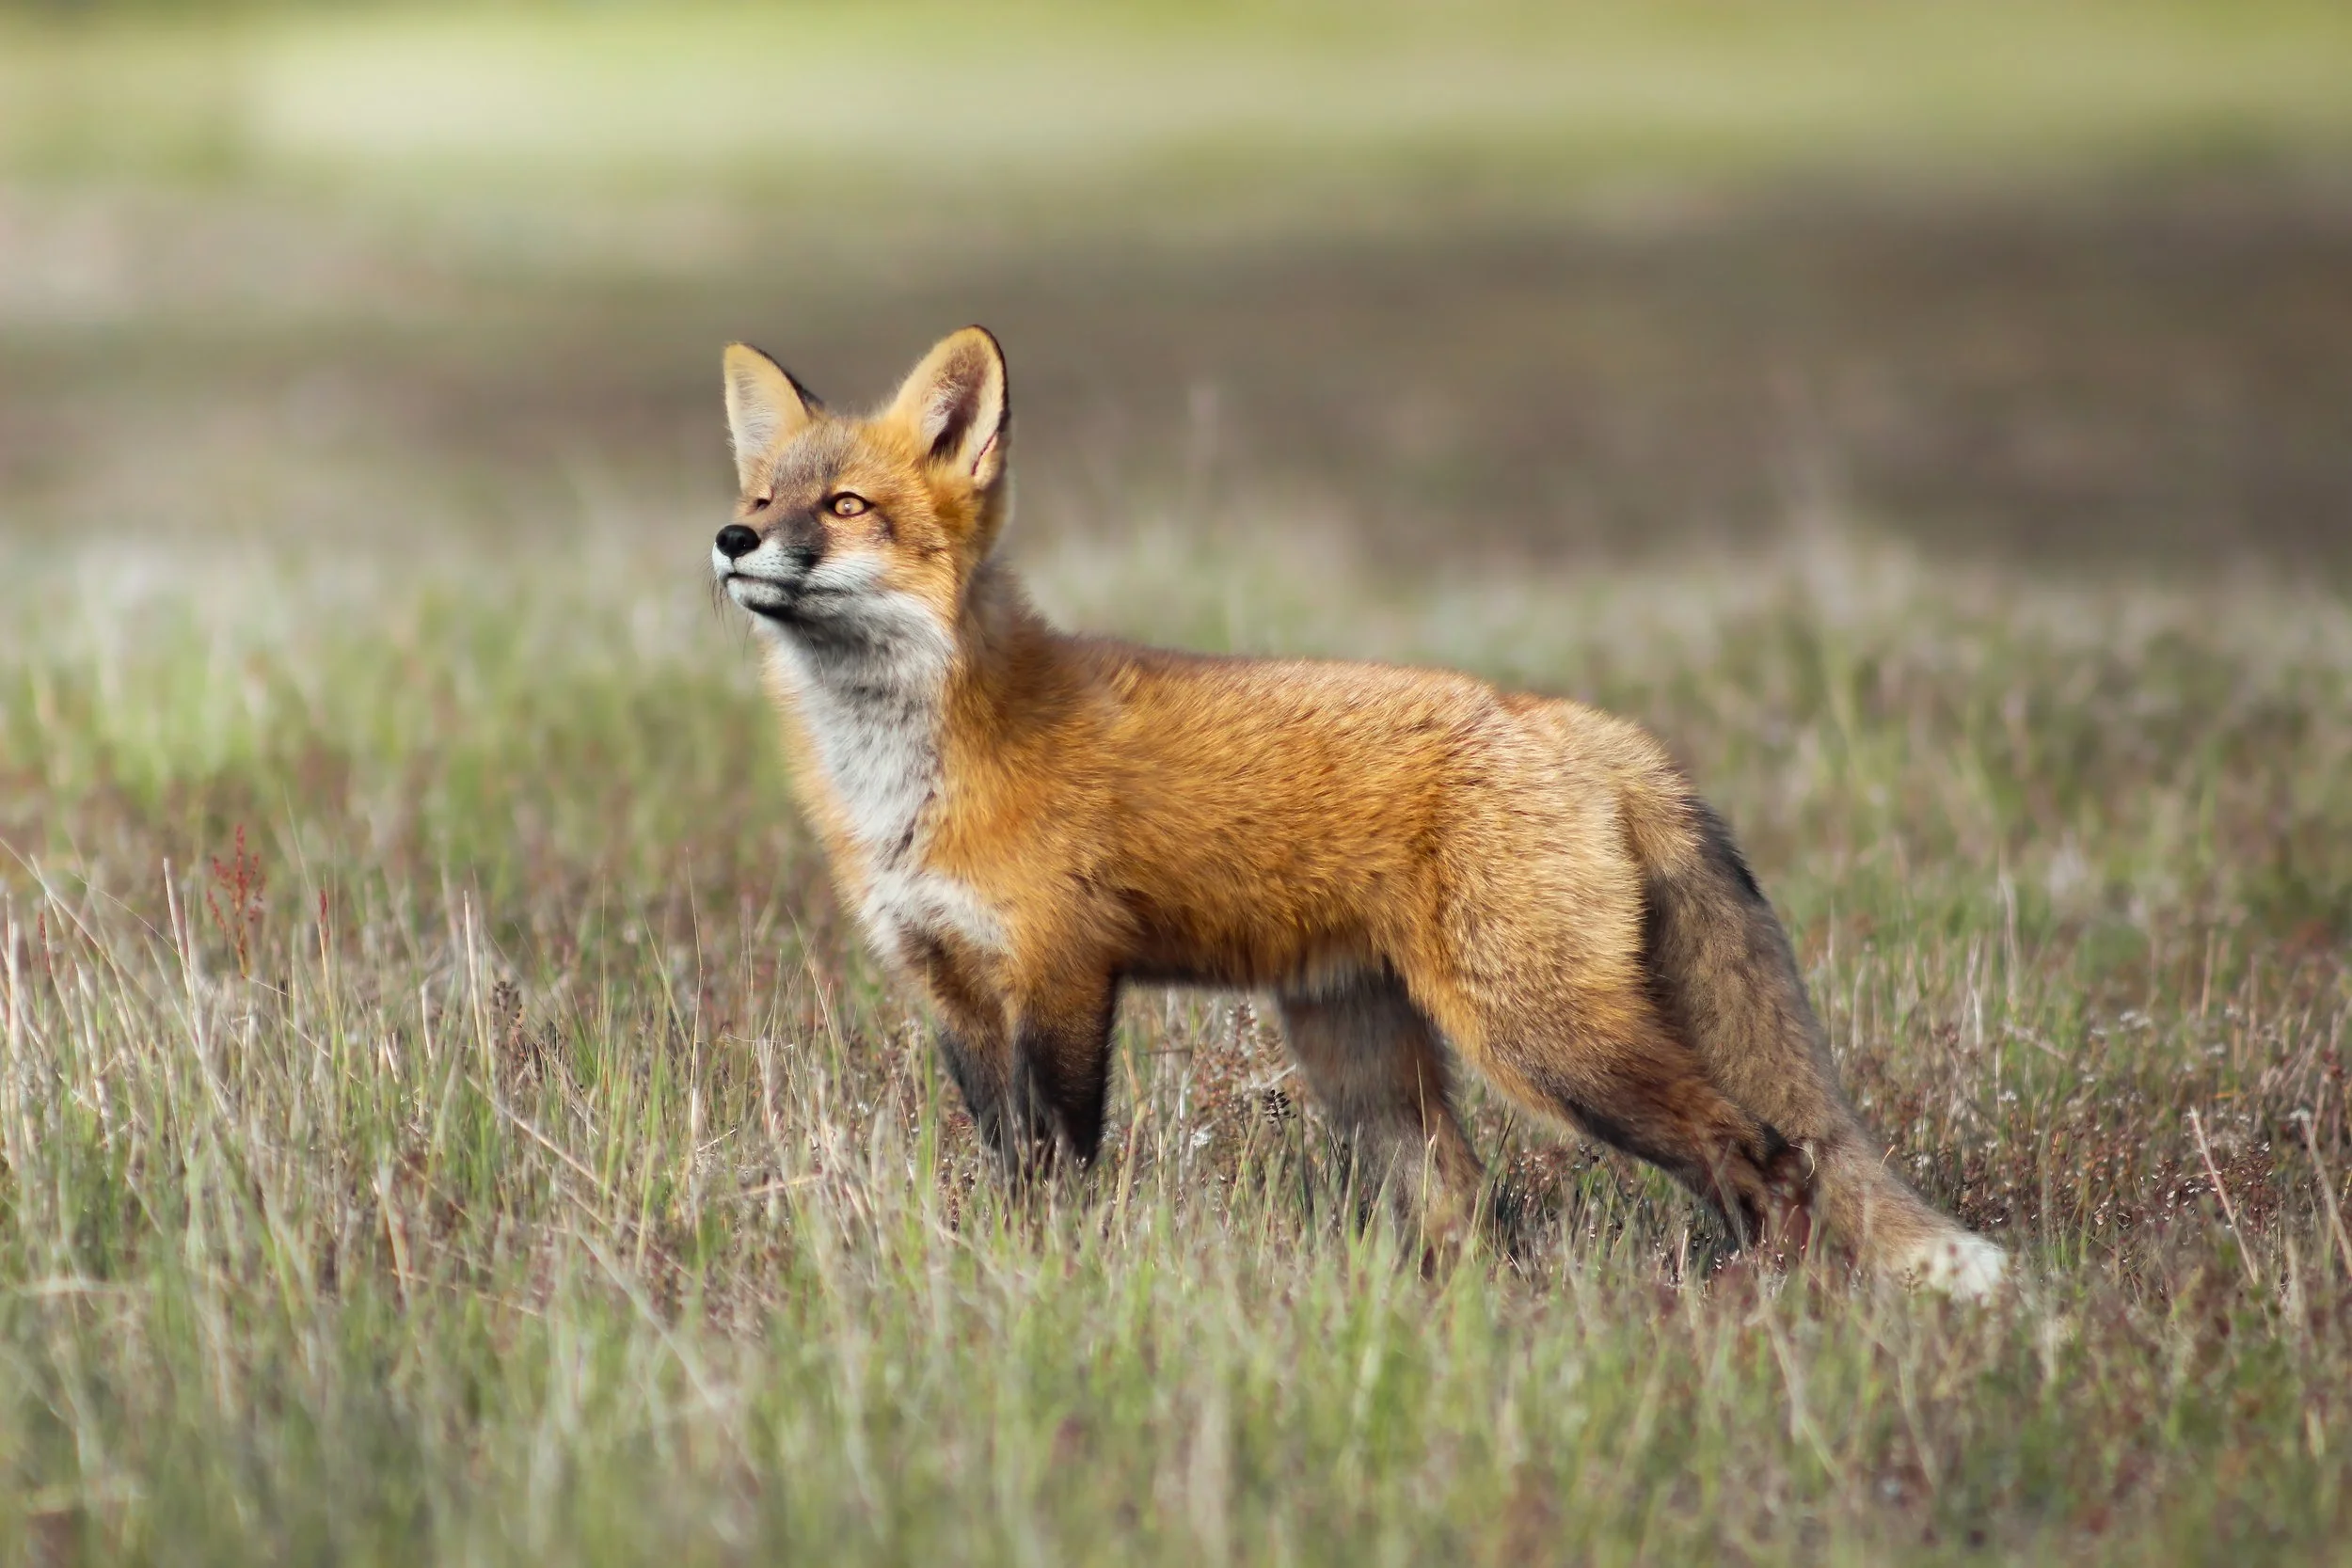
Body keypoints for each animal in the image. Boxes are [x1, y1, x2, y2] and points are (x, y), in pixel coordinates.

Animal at [710, 325, 2009, 1299]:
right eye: (763, 495)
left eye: (845, 505)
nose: (730, 539)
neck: (909, 776)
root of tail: (1579, 723)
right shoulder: (949, 986)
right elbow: (1008, 1160)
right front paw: (1007, 1267)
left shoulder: (1064, 972)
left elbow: (1060, 1163)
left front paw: (1060, 1275)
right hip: (1371, 1071)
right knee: (1477, 1206)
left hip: (1547, 1040)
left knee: (1764, 1156)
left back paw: (1755, 1308)